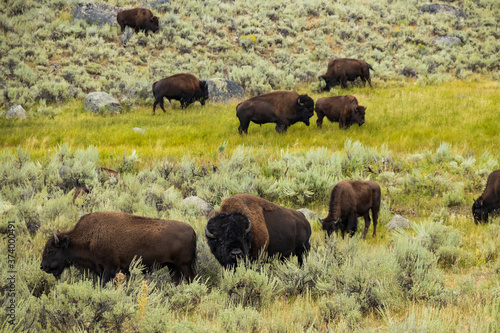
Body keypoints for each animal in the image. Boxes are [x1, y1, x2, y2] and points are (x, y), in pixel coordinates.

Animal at [40, 211, 196, 284]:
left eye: (51, 250)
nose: (42, 266)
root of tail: (192, 230)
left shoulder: (110, 270)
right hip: (172, 266)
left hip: (184, 265)